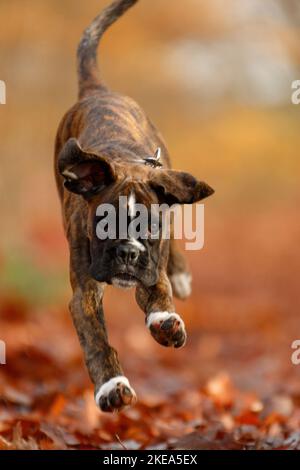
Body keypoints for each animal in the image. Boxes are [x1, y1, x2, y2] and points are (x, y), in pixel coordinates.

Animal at [54, 0, 213, 412]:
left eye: (150, 226)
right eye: (103, 225)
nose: (127, 252)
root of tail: (98, 91)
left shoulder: (152, 266)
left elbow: (159, 291)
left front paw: (164, 321)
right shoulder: (84, 294)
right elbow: (96, 341)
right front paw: (111, 385)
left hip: (168, 172)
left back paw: (181, 276)